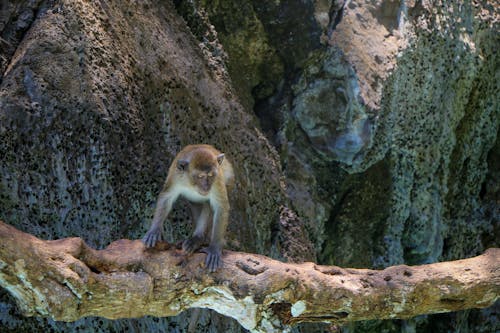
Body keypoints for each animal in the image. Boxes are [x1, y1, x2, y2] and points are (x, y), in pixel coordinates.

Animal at [142, 144, 233, 272]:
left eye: (211, 175)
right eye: (200, 176)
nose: (206, 187)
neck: (191, 183)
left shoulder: (217, 181)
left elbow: (221, 207)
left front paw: (215, 248)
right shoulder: (176, 176)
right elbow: (166, 197)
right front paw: (154, 230)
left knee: (208, 206)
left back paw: (198, 239)